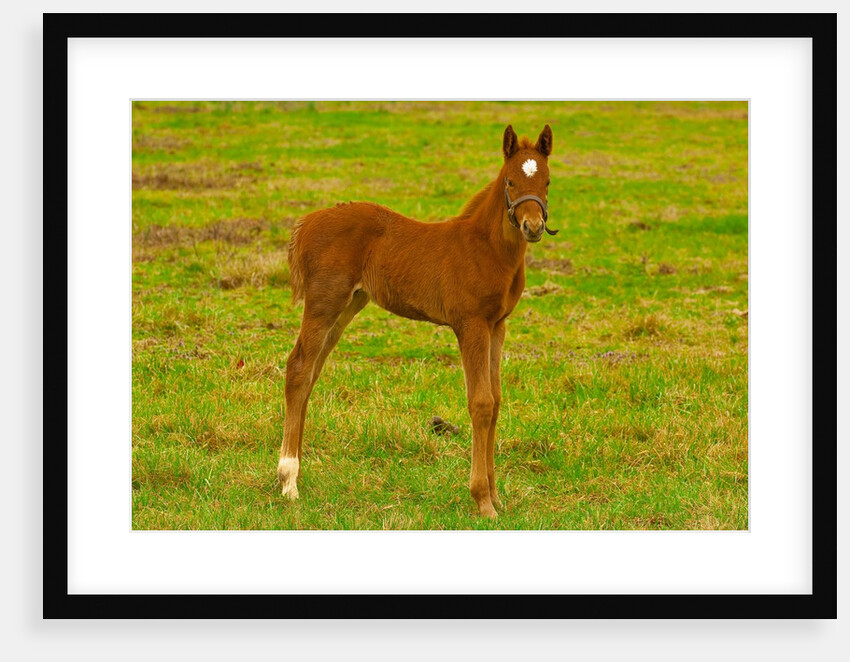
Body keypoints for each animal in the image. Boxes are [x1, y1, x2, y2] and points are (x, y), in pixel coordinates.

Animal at [277, 124, 556, 518]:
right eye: (511, 181)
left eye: (547, 181)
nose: (533, 225)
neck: (486, 249)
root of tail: (306, 223)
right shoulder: (470, 324)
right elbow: (481, 403)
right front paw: (482, 501)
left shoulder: (497, 325)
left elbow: (497, 400)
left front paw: (497, 496)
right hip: (324, 303)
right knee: (299, 369)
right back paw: (288, 480)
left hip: (349, 304)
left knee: (312, 372)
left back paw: (297, 473)